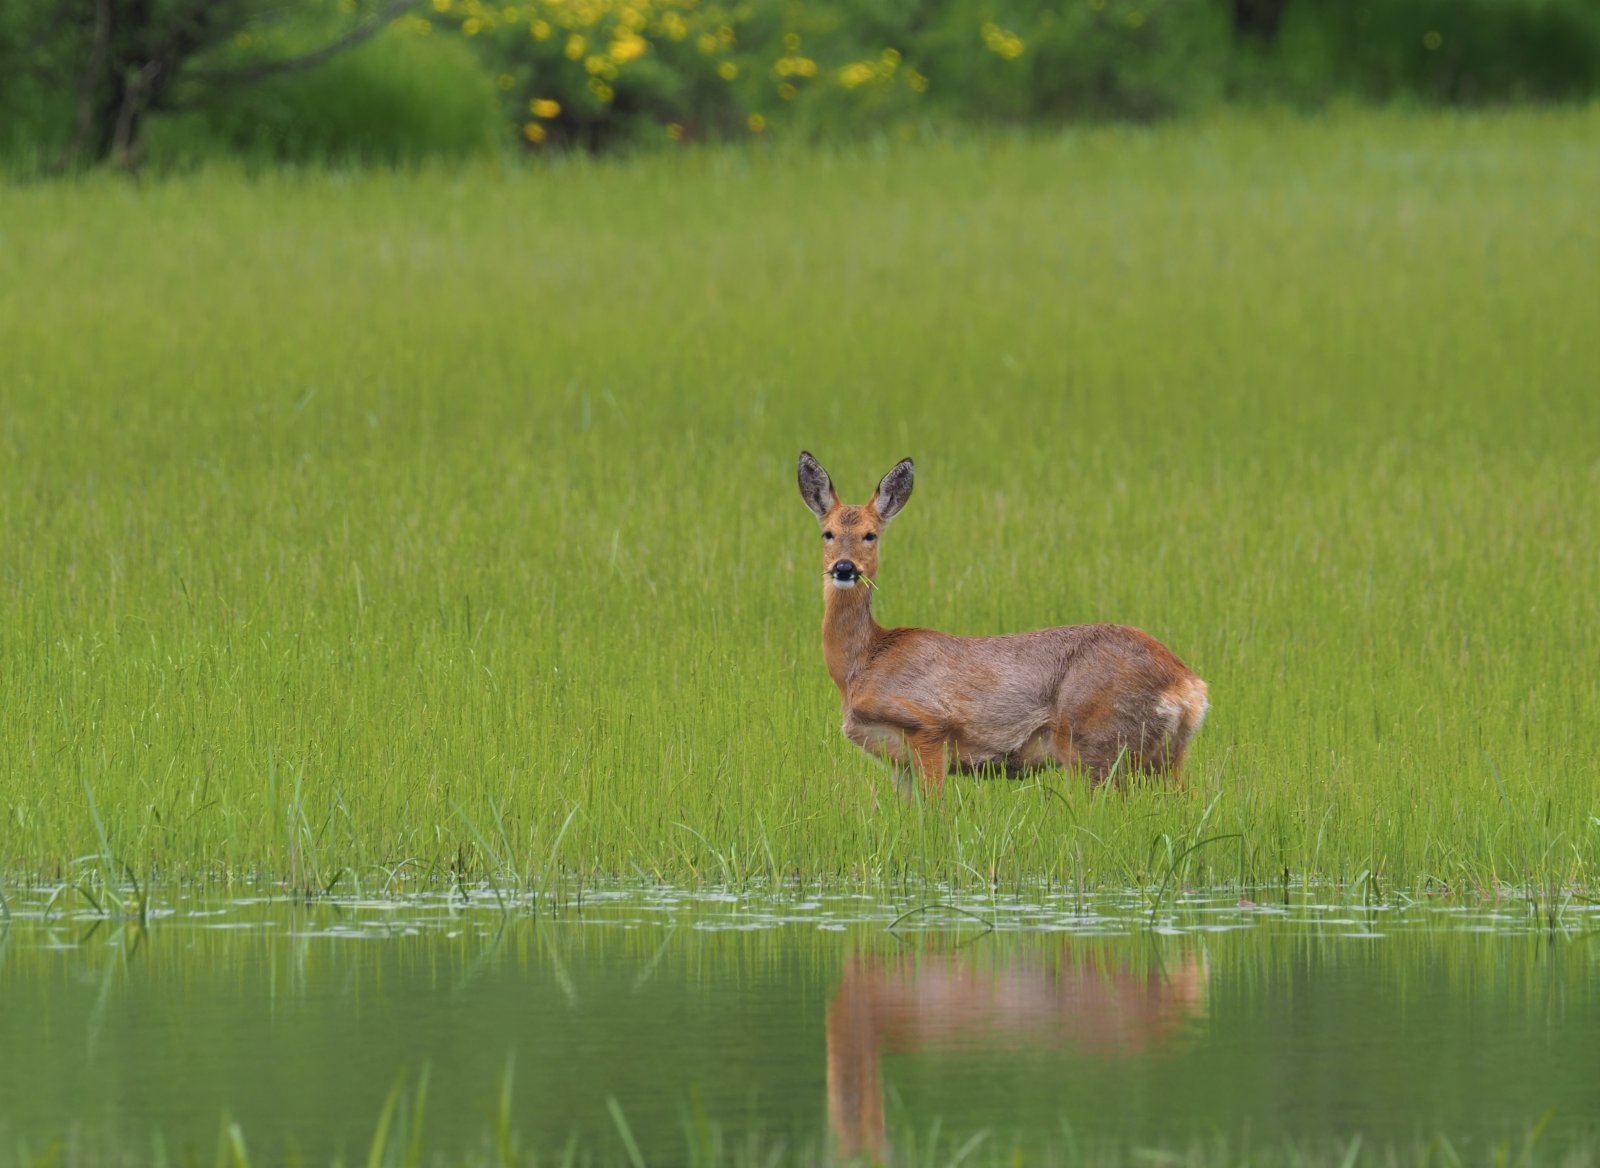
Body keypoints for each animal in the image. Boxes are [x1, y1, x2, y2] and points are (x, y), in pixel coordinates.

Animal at [800, 451, 1209, 790]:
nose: (844, 568)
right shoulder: (898, 762)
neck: (862, 664)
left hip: (1095, 741)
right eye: (827, 533)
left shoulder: (928, 725)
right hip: (1162, 755)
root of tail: (1189, 687)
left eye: (870, 535)